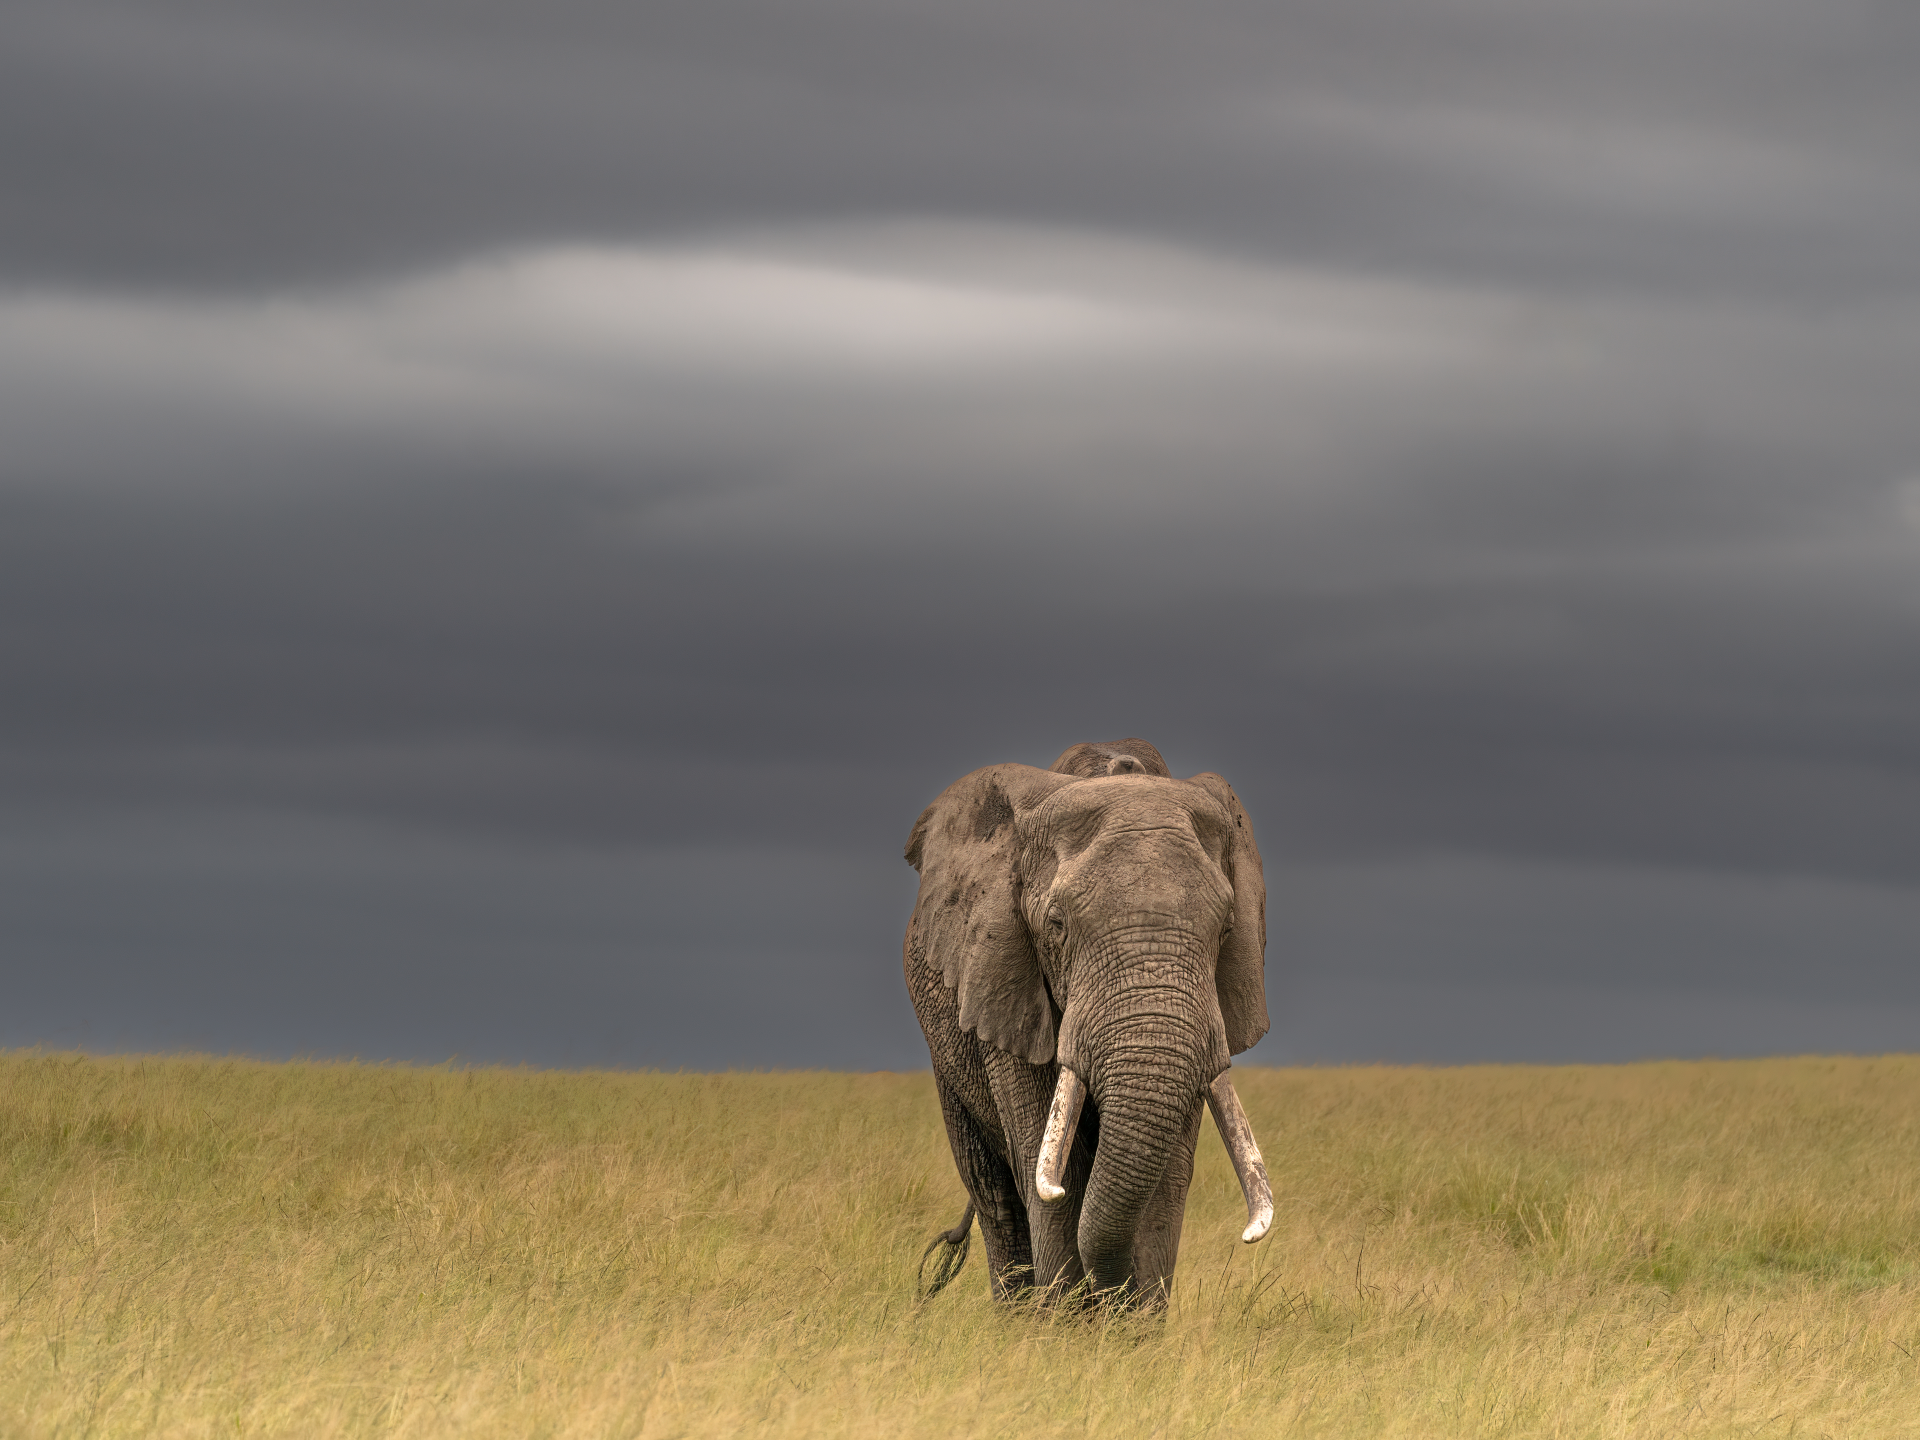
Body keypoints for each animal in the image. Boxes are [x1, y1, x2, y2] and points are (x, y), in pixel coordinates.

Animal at [904, 737, 1274, 1309]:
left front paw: (1132, 1325)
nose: (1111, 1302)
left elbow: (1168, 1178)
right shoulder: (1006, 980)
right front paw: (1065, 1325)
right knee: (995, 1194)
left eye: (1228, 928)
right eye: (1056, 926)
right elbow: (1053, 1168)